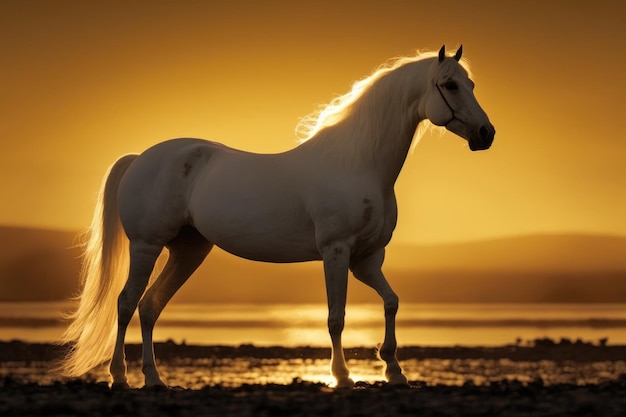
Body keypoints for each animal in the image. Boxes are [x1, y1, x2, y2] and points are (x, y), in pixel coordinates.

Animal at [61, 44, 494, 386]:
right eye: (451, 86)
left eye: (472, 84)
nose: (486, 135)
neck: (359, 163)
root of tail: (140, 158)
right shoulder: (336, 252)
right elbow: (336, 317)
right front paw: (342, 376)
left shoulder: (367, 260)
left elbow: (391, 302)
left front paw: (394, 370)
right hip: (147, 246)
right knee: (126, 303)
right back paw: (119, 377)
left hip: (189, 251)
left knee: (150, 306)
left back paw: (154, 379)